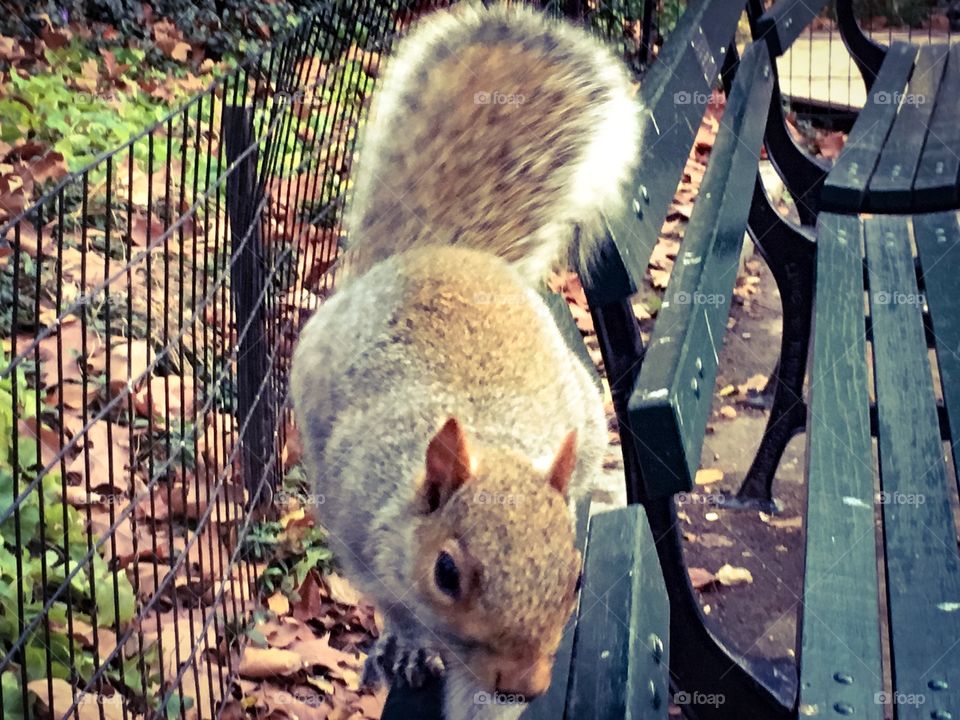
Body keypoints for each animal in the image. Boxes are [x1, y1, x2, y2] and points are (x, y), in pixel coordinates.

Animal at [292, 2, 636, 716]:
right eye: (446, 572)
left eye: (576, 574)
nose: (524, 684)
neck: (493, 442)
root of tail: (444, 251)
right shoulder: (364, 526)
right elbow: (397, 607)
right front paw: (407, 645)